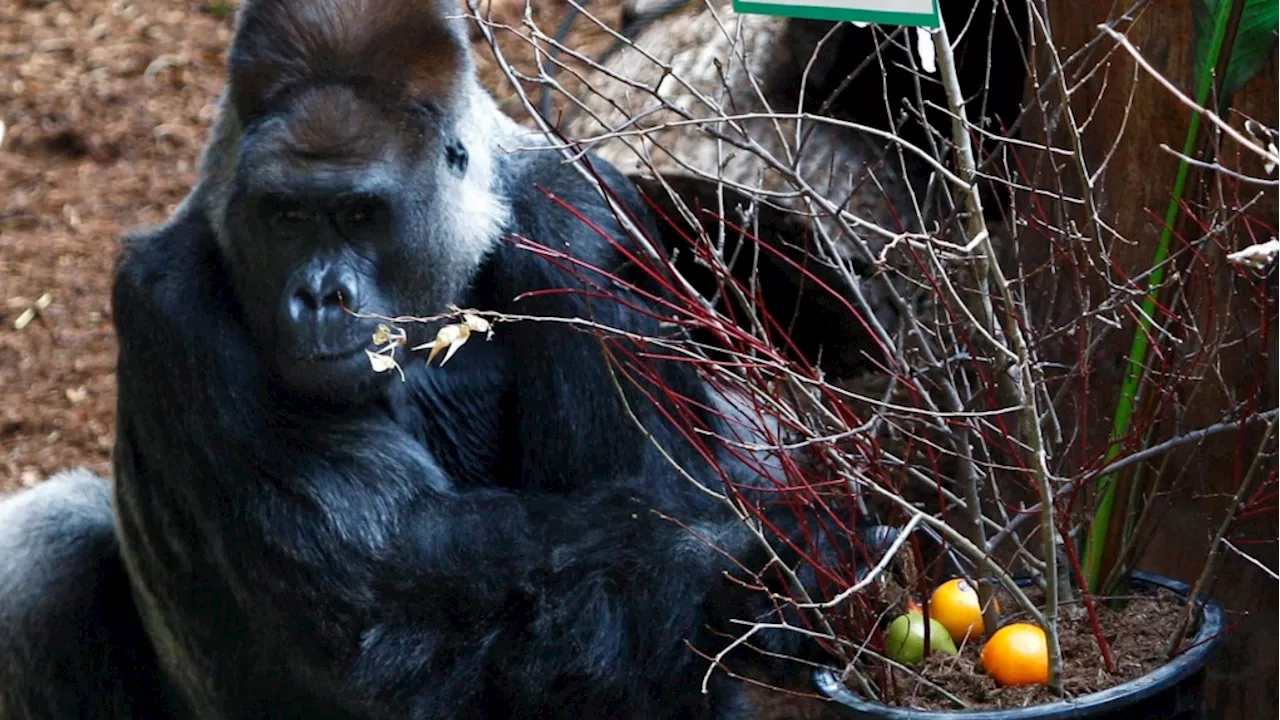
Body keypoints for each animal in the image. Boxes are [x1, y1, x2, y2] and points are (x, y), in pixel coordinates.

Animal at [0, 1, 890, 717]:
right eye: (283, 215)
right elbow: (389, 577)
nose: (319, 296)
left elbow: (657, 503)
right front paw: (764, 558)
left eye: (361, 213)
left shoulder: (585, 226)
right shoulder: (171, 296)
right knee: (47, 550)